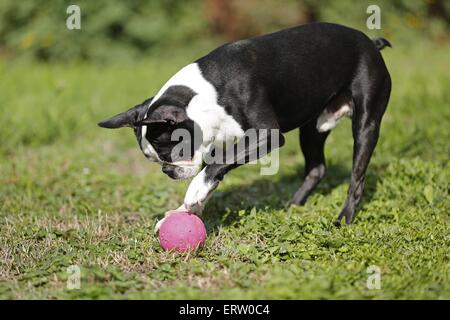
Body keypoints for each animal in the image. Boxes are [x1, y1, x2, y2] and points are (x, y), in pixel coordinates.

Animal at [97, 22, 390, 229]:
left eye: (171, 152)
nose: (167, 171)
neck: (205, 94)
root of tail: (371, 43)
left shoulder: (267, 134)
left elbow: (217, 165)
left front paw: (194, 192)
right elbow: (218, 166)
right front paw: (184, 210)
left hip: (366, 124)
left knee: (357, 178)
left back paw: (344, 218)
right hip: (312, 127)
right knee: (317, 168)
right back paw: (293, 206)